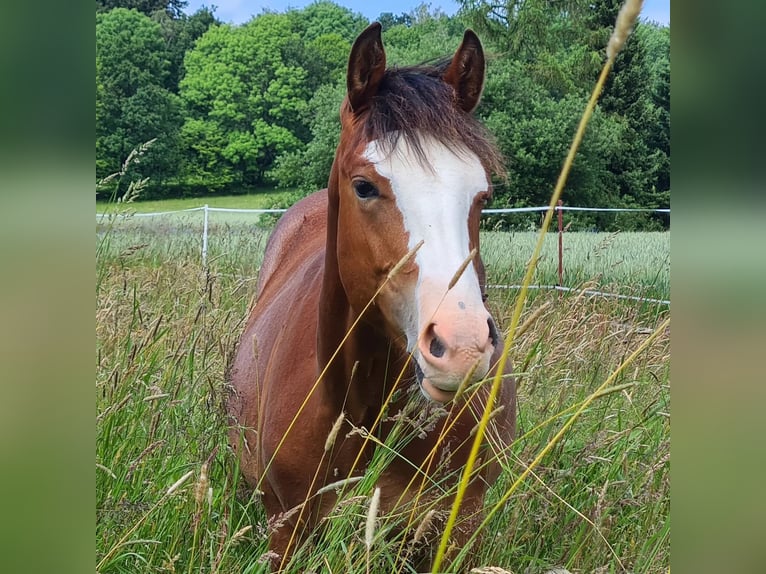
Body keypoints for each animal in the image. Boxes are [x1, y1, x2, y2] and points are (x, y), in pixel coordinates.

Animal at [228, 22, 516, 572]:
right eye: (363, 186)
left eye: (483, 195)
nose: (462, 347)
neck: (361, 413)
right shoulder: (285, 530)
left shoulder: (455, 529)